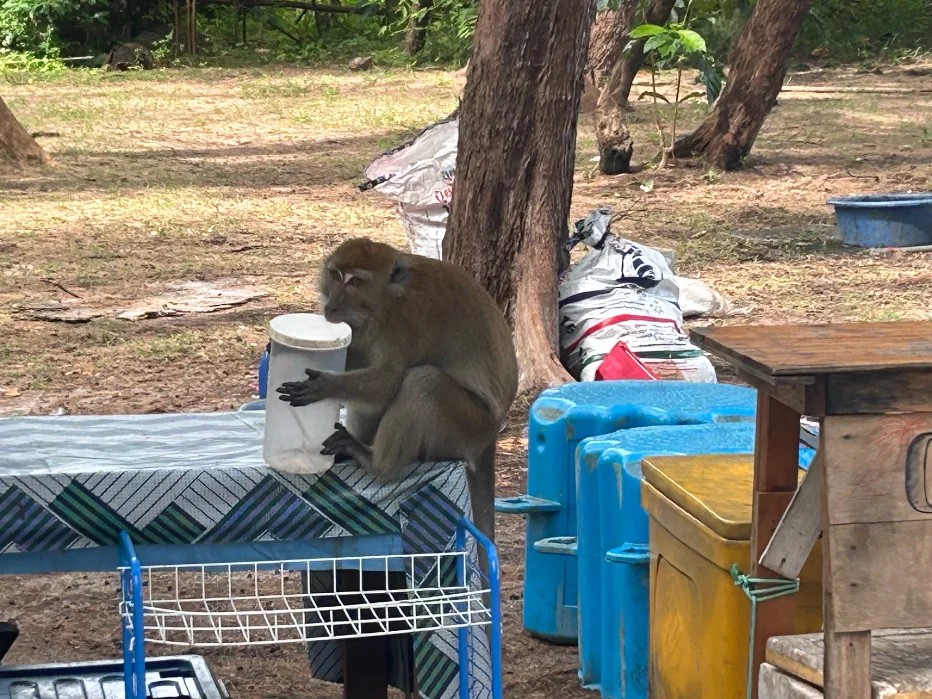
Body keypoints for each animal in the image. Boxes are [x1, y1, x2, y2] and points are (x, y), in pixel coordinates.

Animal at [276, 237, 518, 544]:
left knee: (423, 382)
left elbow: (386, 382)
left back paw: (374, 461)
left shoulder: (403, 320)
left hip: (469, 425)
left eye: (356, 281)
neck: (382, 301)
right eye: (335, 275)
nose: (331, 304)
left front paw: (324, 386)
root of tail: (490, 436)